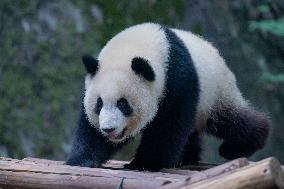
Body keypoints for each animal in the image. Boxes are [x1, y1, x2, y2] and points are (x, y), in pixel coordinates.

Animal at [67, 22, 270, 171]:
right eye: (99, 104)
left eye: (123, 104)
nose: (109, 129)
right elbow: (90, 129)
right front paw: (82, 159)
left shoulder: (177, 79)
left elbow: (169, 125)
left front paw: (145, 163)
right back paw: (187, 157)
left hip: (214, 93)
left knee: (230, 120)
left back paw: (239, 146)